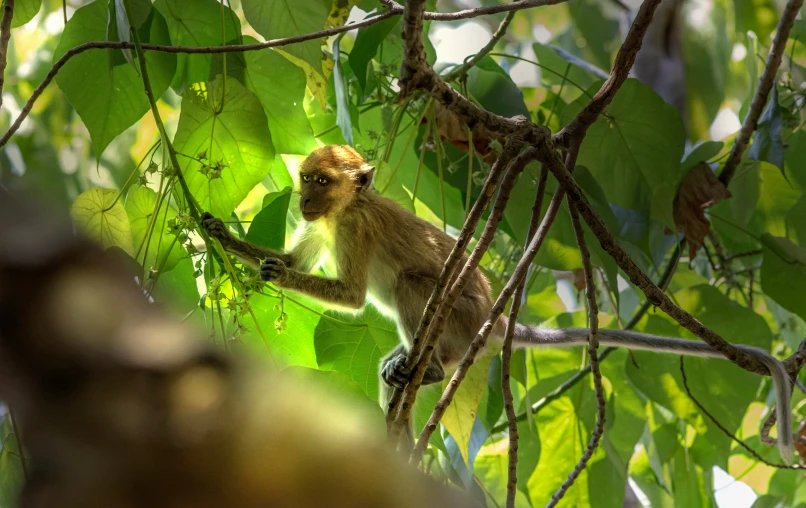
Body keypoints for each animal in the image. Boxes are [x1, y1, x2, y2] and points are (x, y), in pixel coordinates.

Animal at [200, 144, 796, 464]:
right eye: (305, 180)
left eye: (322, 181)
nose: (303, 198)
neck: (345, 207)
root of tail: (494, 317)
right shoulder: (324, 225)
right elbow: (297, 258)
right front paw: (222, 235)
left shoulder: (353, 229)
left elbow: (350, 296)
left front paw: (269, 270)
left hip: (458, 318)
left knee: (413, 284)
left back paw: (428, 367)